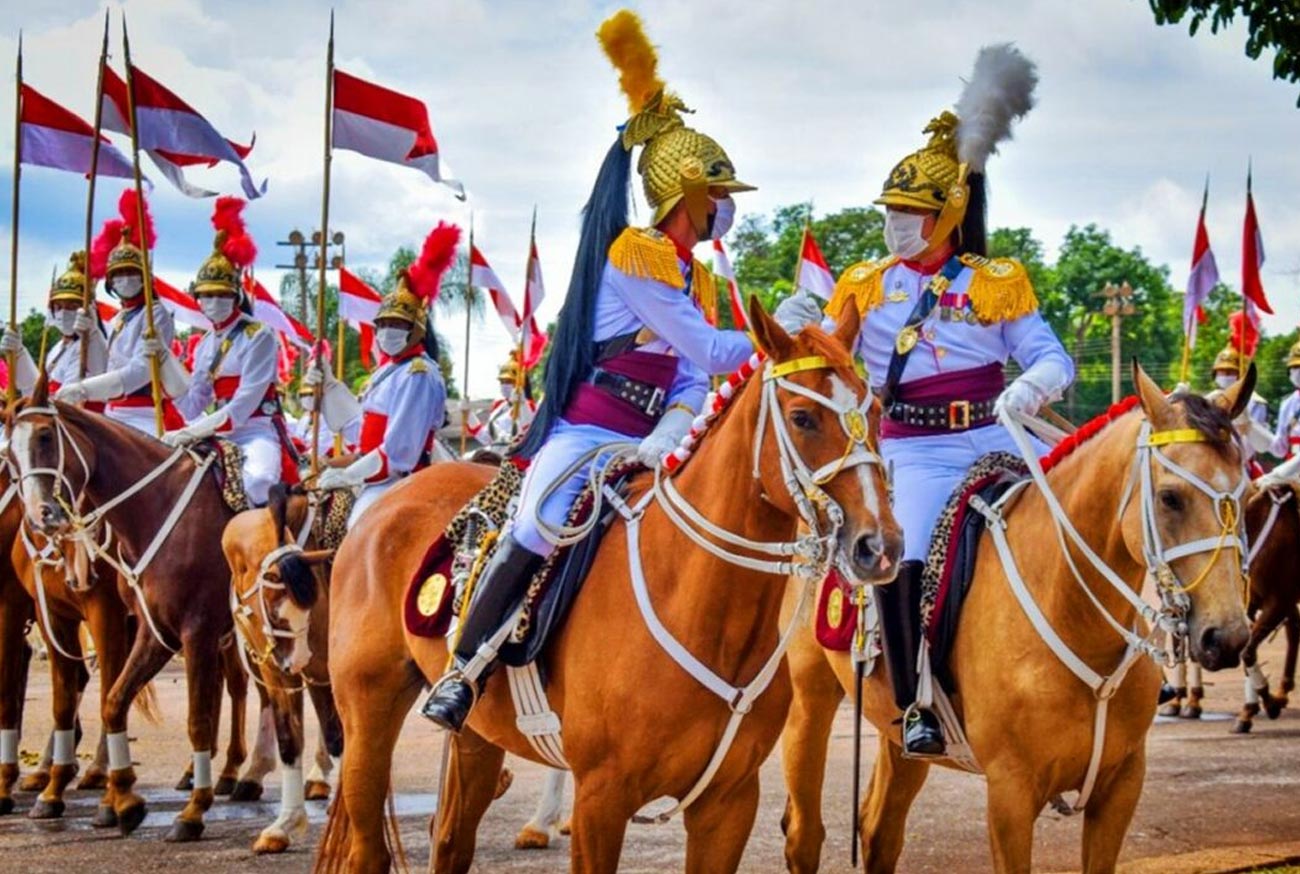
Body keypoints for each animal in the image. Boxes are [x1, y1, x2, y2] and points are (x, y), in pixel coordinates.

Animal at [4, 390, 244, 837]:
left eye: (45, 436)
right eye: (10, 454)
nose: (41, 515)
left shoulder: (186, 629)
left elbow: (194, 717)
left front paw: (188, 811)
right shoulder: (147, 629)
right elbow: (106, 700)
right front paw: (119, 799)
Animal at [315, 301, 904, 874]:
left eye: (876, 413)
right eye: (803, 418)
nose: (879, 546)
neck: (702, 610)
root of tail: (383, 503)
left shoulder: (729, 803)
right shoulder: (602, 798)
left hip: (477, 737)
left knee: (451, 844)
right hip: (367, 711)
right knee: (369, 848)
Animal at [774, 369, 1253, 874]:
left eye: (1244, 493)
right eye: (1170, 498)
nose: (1226, 636)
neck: (1076, 619)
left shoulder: (1121, 784)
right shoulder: (1011, 793)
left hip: (895, 733)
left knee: (879, 830)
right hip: (809, 701)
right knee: (804, 834)